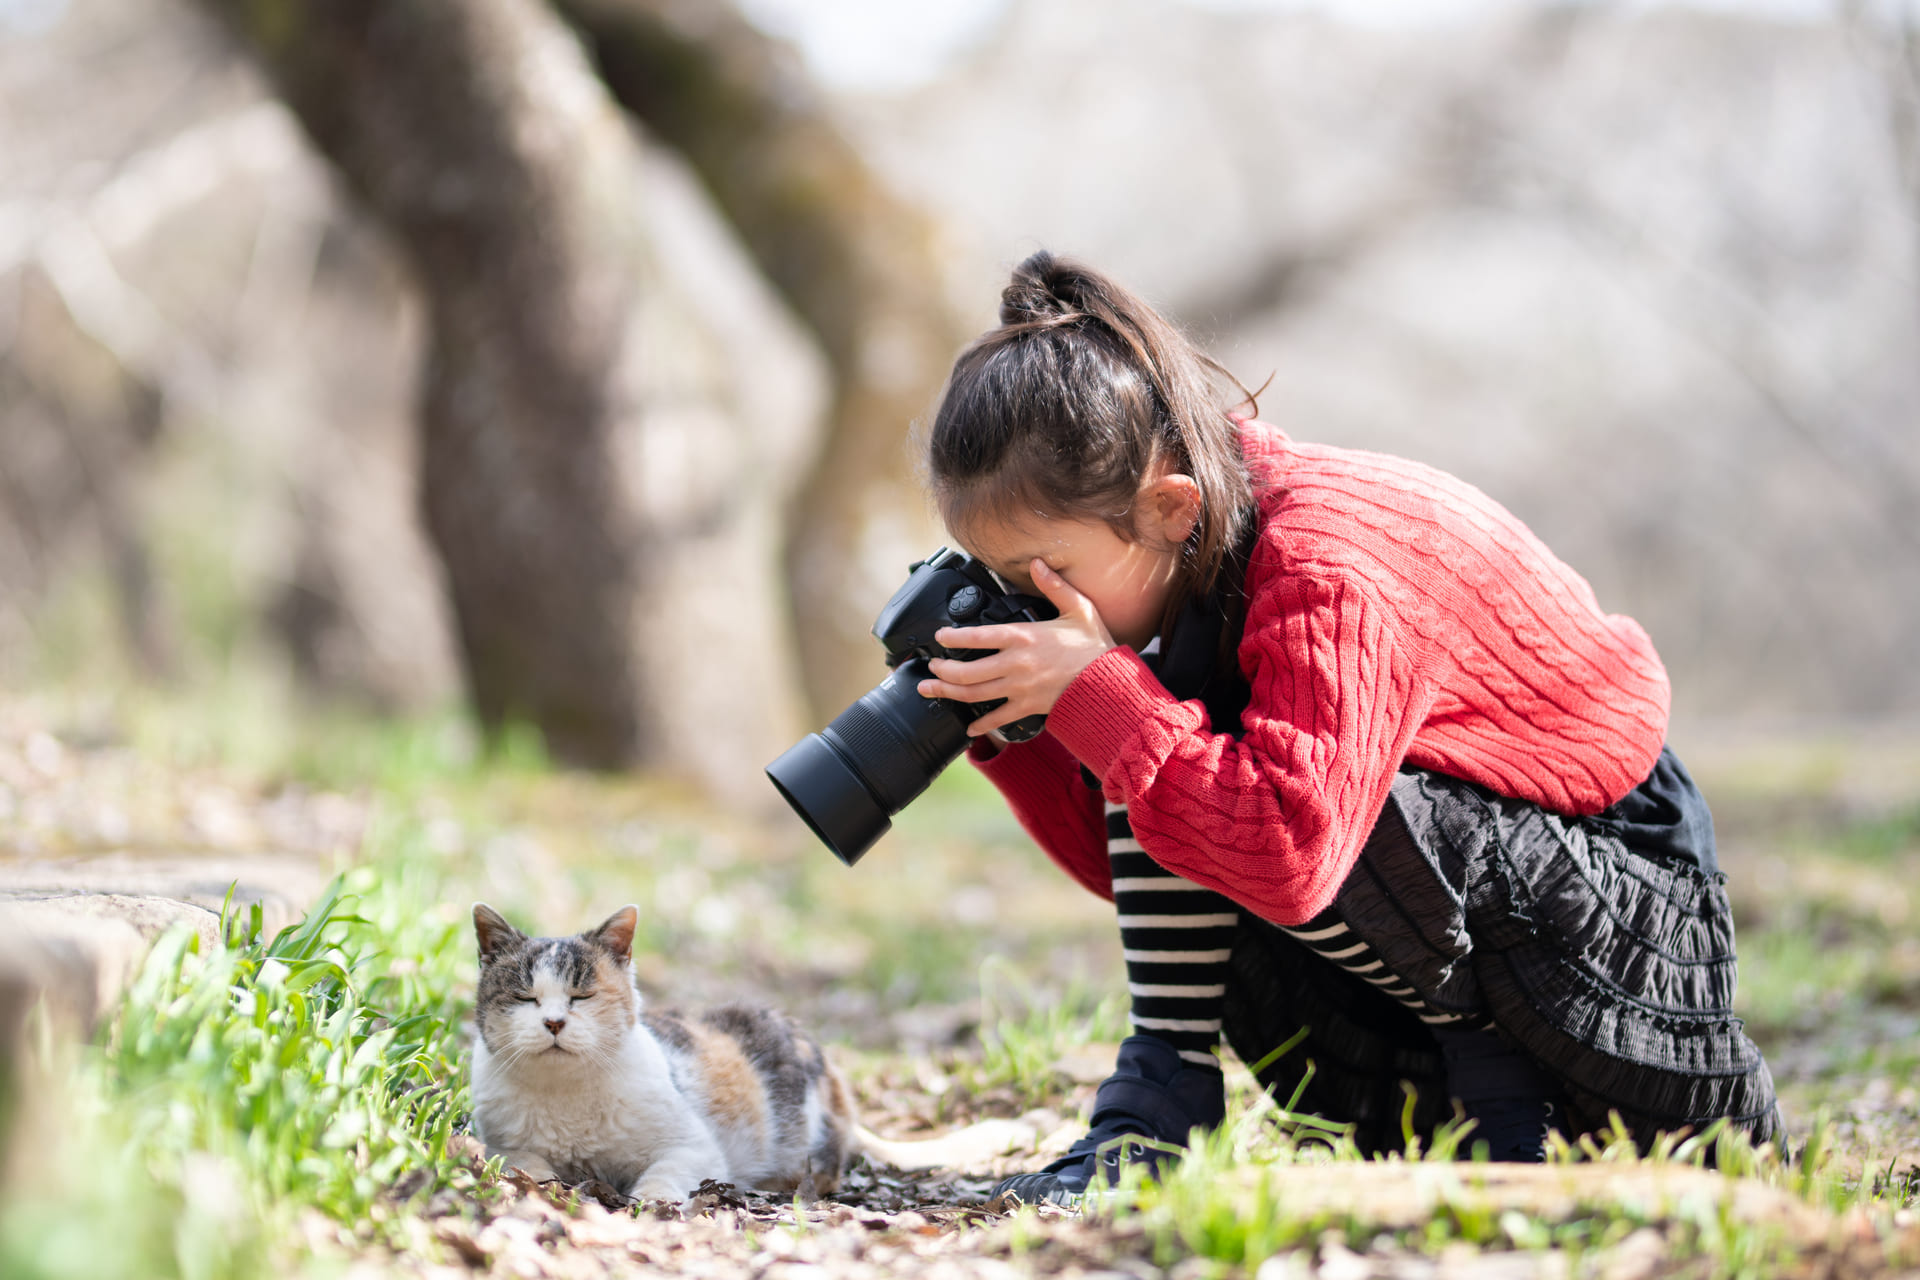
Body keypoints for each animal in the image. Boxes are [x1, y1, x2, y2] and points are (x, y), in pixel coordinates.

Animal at [468, 901, 1036, 1205]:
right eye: (526, 997)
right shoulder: (500, 1140)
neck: (567, 1097)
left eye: (581, 996)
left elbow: (664, 1175)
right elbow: (526, 1162)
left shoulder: (695, 1148)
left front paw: (650, 1202)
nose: (554, 1022)